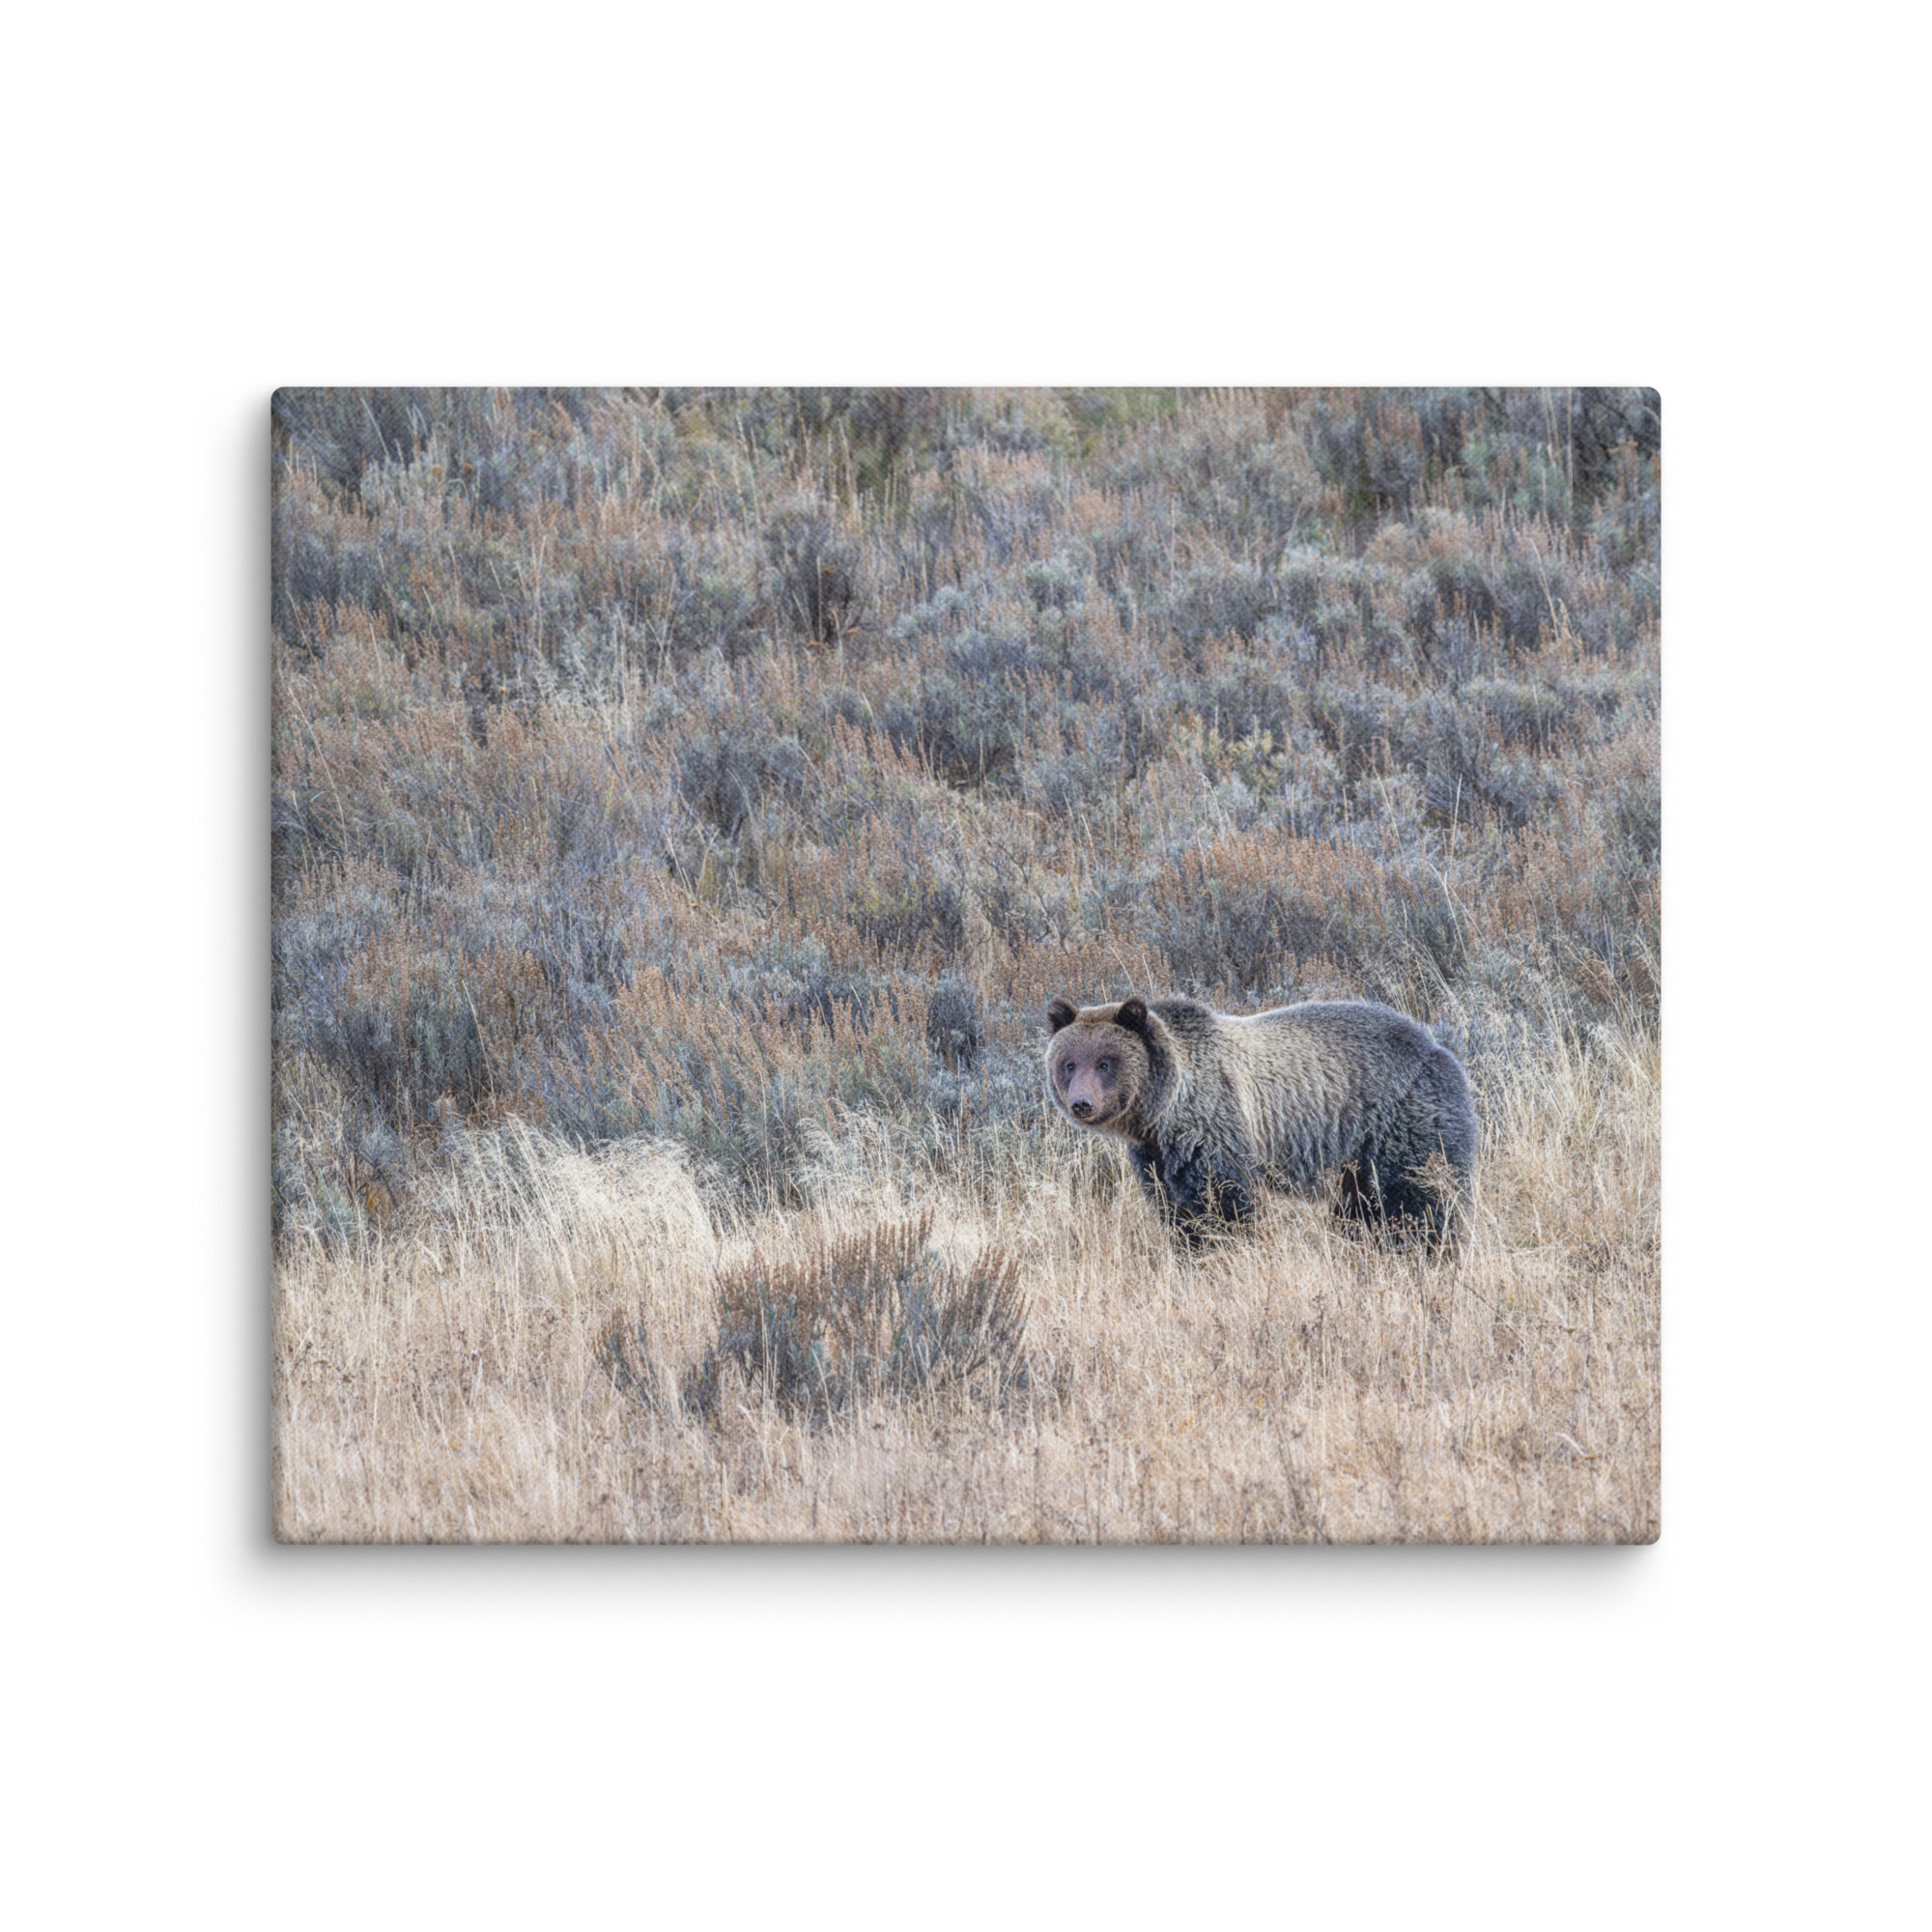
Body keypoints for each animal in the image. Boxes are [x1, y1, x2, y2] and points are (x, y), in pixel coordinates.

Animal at [1044, 993, 1477, 1249]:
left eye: (1105, 1063)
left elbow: (1225, 1204)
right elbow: (1175, 1210)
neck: (1161, 1112)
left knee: (1420, 1198)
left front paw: (1226, 1249)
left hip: (1401, 1122)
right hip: (1356, 1159)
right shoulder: (1155, 1156)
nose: (1081, 1103)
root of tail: (1438, 1047)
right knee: (1361, 1208)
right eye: (1069, 1063)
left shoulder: (1213, 1128)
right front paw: (1189, 1248)